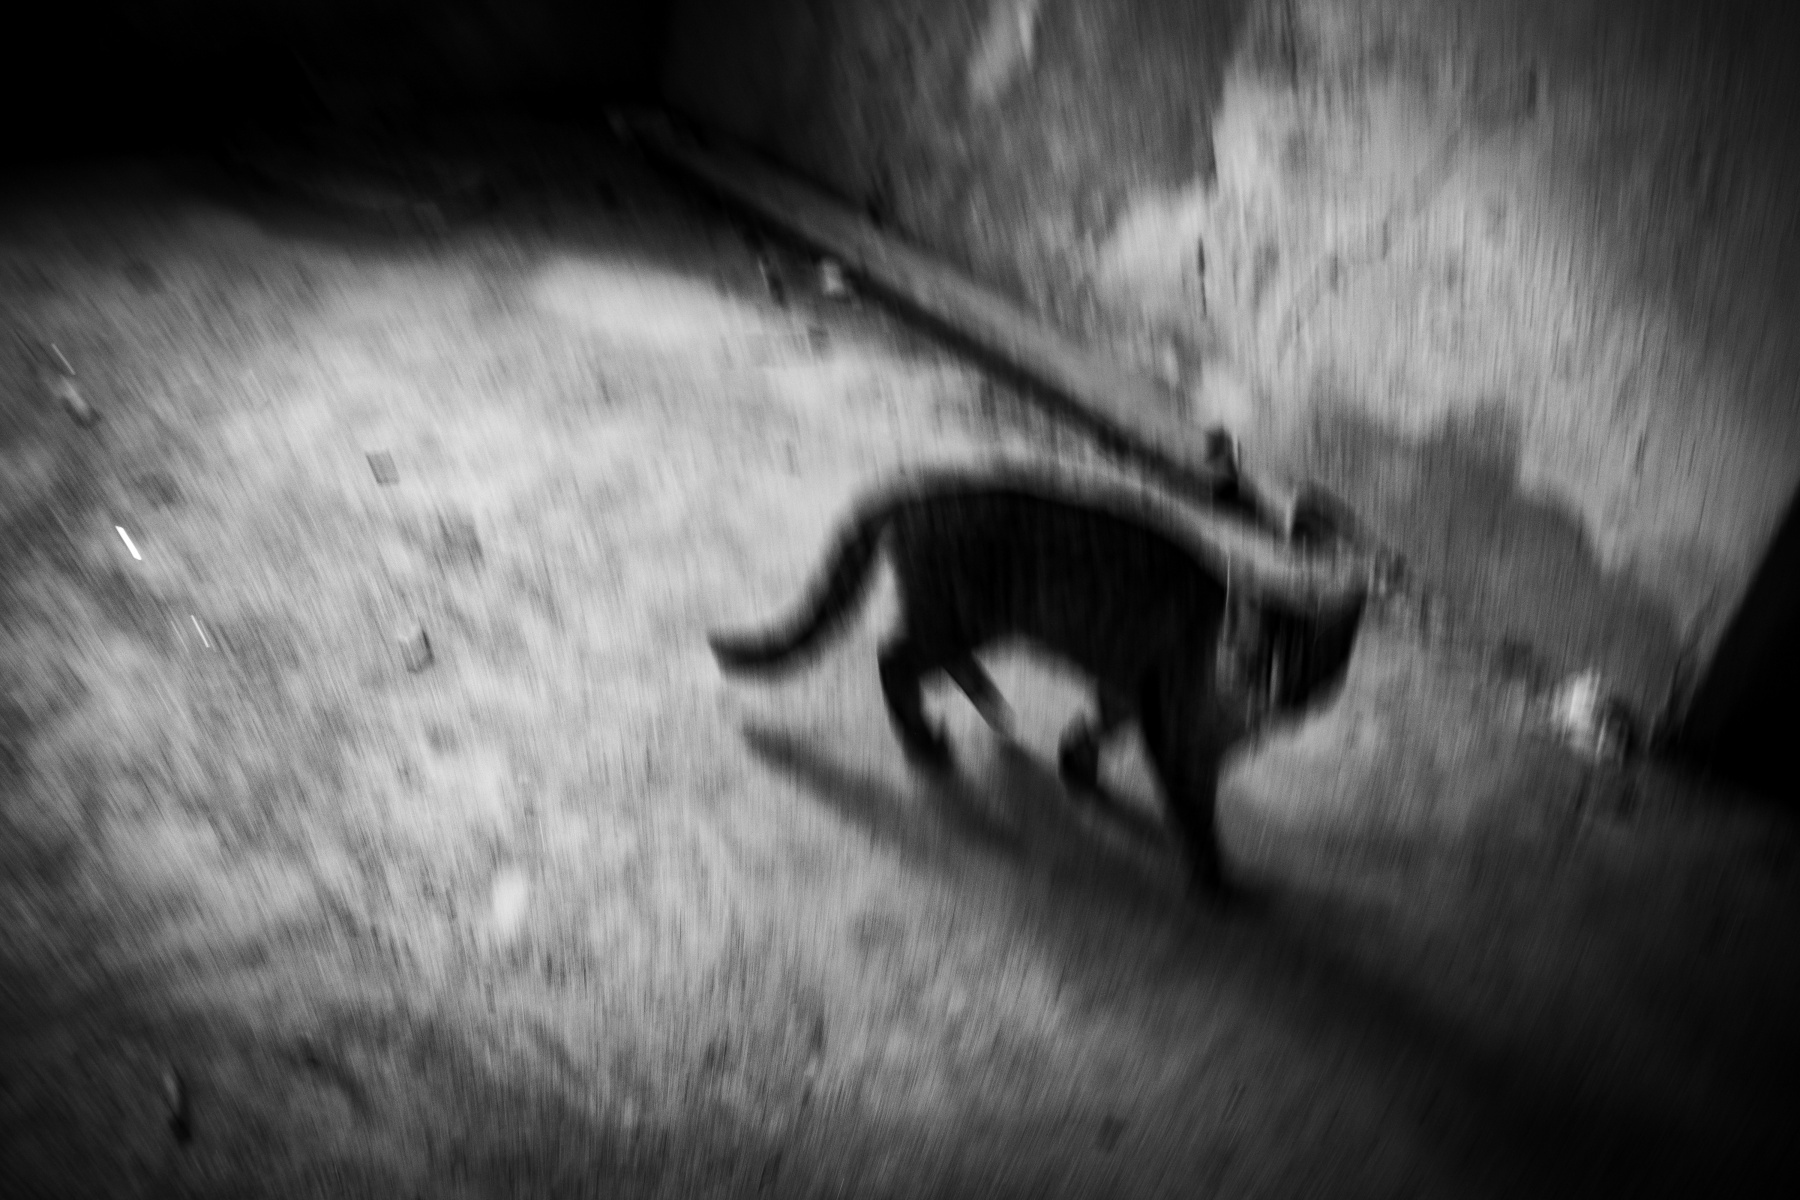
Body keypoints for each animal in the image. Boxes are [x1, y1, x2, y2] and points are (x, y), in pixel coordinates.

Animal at [708, 467, 1367, 903]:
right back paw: (924, 738)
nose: (1271, 694)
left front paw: (1076, 761)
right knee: (892, 656)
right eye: (1250, 657)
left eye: (1307, 672)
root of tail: (922, 481)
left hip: (963, 618)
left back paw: (990, 705)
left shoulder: (1131, 683)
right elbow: (1196, 807)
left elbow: (1098, 720)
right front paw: (1214, 873)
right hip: (962, 611)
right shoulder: (1174, 724)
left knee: (932, 659)